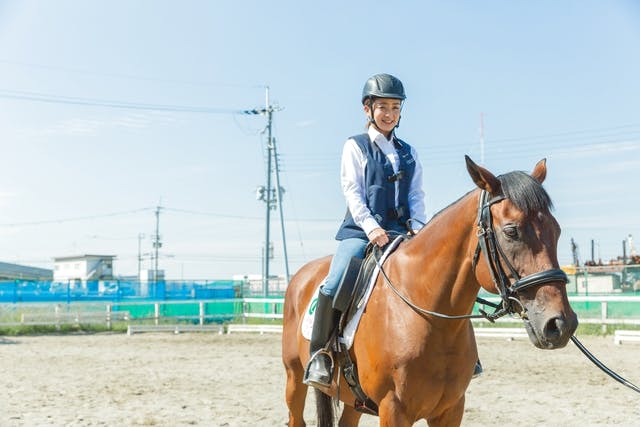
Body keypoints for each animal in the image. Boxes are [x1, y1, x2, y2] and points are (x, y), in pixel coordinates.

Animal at [282, 158, 576, 427]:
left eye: (557, 230)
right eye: (511, 231)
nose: (561, 324)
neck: (431, 317)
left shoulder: (451, 409)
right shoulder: (393, 410)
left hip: (353, 400)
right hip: (294, 378)